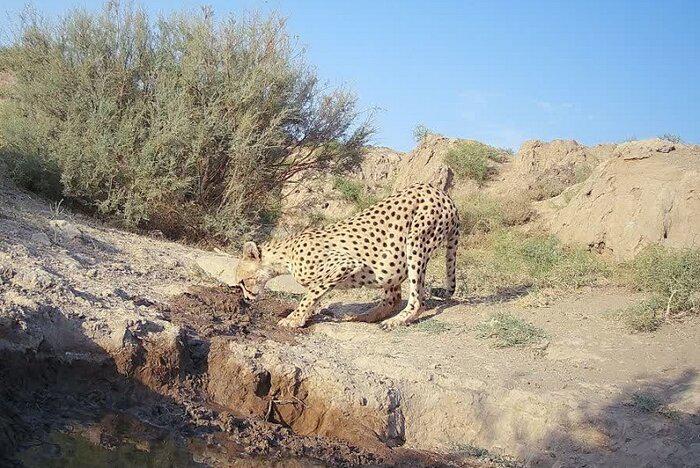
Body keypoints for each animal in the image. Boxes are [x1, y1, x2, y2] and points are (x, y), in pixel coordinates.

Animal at [235, 183, 460, 330]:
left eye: (243, 281)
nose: (246, 298)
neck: (284, 257)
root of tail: (443, 194)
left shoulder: (344, 264)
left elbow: (310, 294)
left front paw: (293, 319)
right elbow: (314, 296)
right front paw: (305, 317)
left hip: (416, 241)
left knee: (417, 299)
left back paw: (397, 320)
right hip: (393, 265)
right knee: (393, 297)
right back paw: (366, 316)